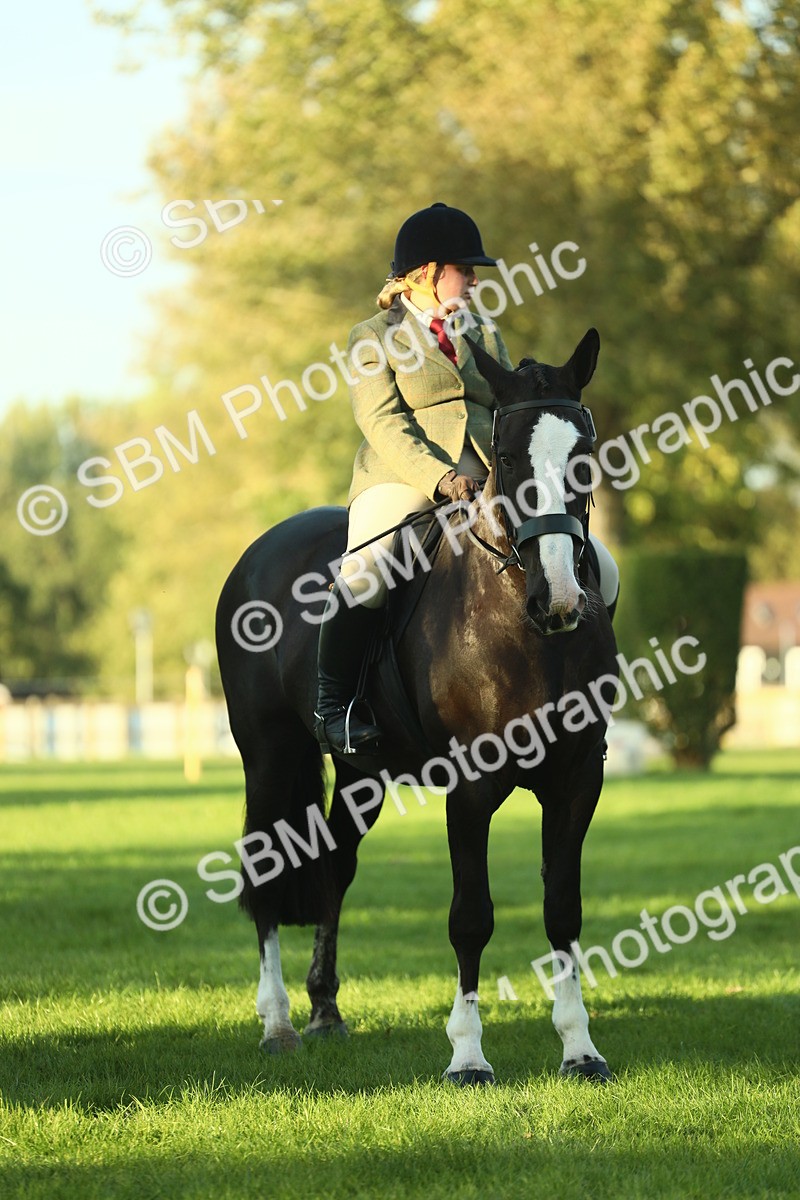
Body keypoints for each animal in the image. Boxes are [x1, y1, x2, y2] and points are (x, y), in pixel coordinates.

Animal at [215, 327, 618, 1085]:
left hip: (362, 772)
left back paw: (325, 1010)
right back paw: (279, 1023)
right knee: (269, 870)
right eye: (508, 456)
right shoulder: (472, 786)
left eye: (585, 451)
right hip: (270, 755)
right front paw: (467, 1056)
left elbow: (563, 910)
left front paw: (580, 1048)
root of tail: (257, 551)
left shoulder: (578, 778)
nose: (558, 601)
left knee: (335, 865)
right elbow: (471, 917)